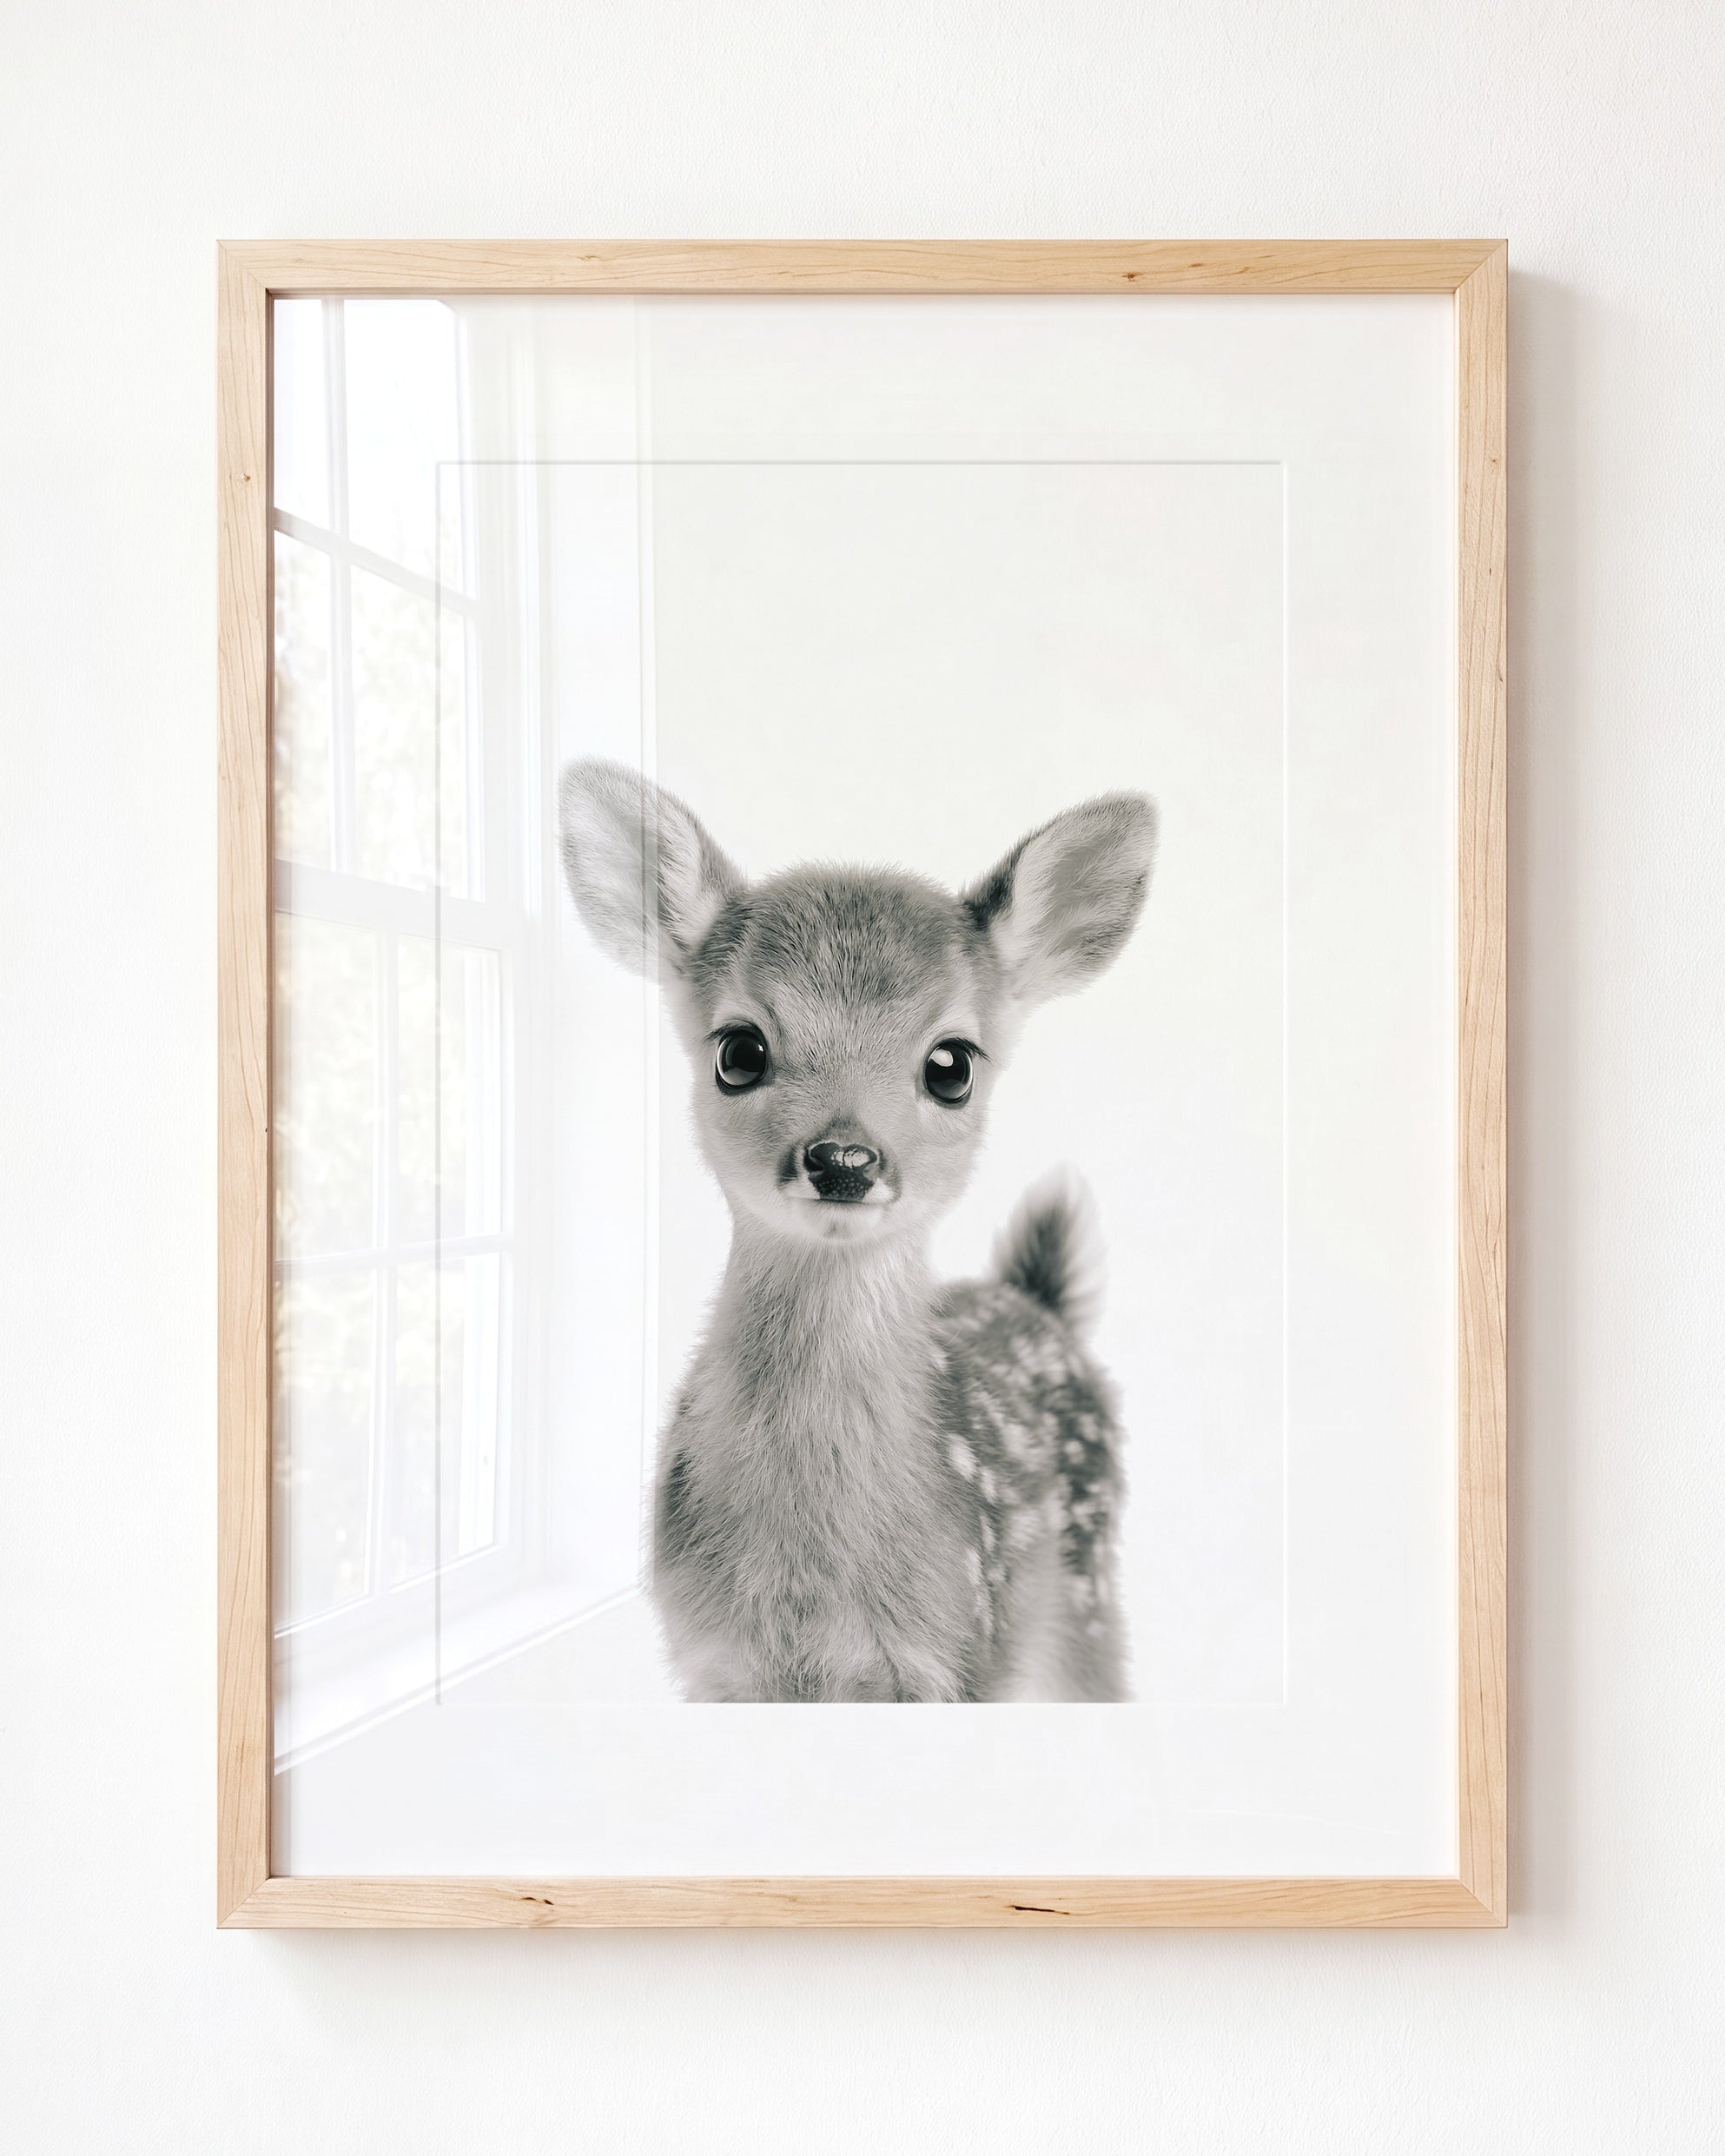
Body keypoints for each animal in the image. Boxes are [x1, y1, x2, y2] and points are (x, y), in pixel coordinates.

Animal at [558, 758, 1157, 1702]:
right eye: (738, 1051)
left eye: (952, 1065)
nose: (843, 1158)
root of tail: (1038, 1302)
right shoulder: (713, 1662)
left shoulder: (956, 1652)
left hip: (1086, 1601)